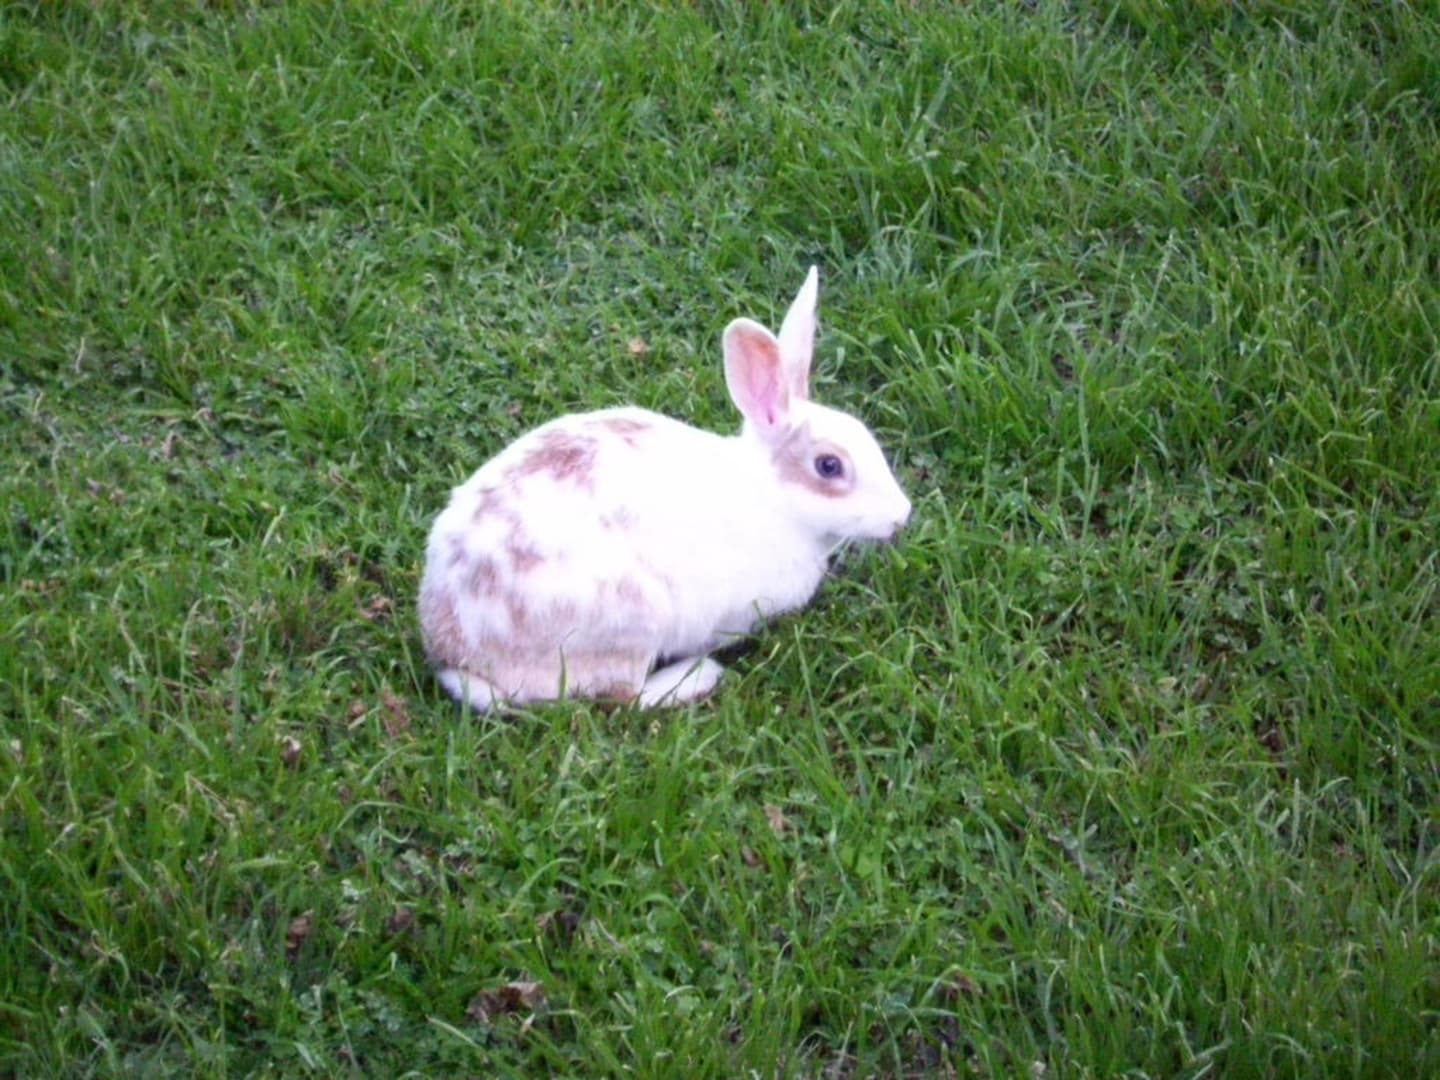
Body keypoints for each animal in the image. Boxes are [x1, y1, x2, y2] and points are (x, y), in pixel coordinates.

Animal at [418, 266, 911, 710]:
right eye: (829, 466)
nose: (901, 516)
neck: (772, 496)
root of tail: (456, 652)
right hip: (632, 622)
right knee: (623, 696)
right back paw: (698, 675)